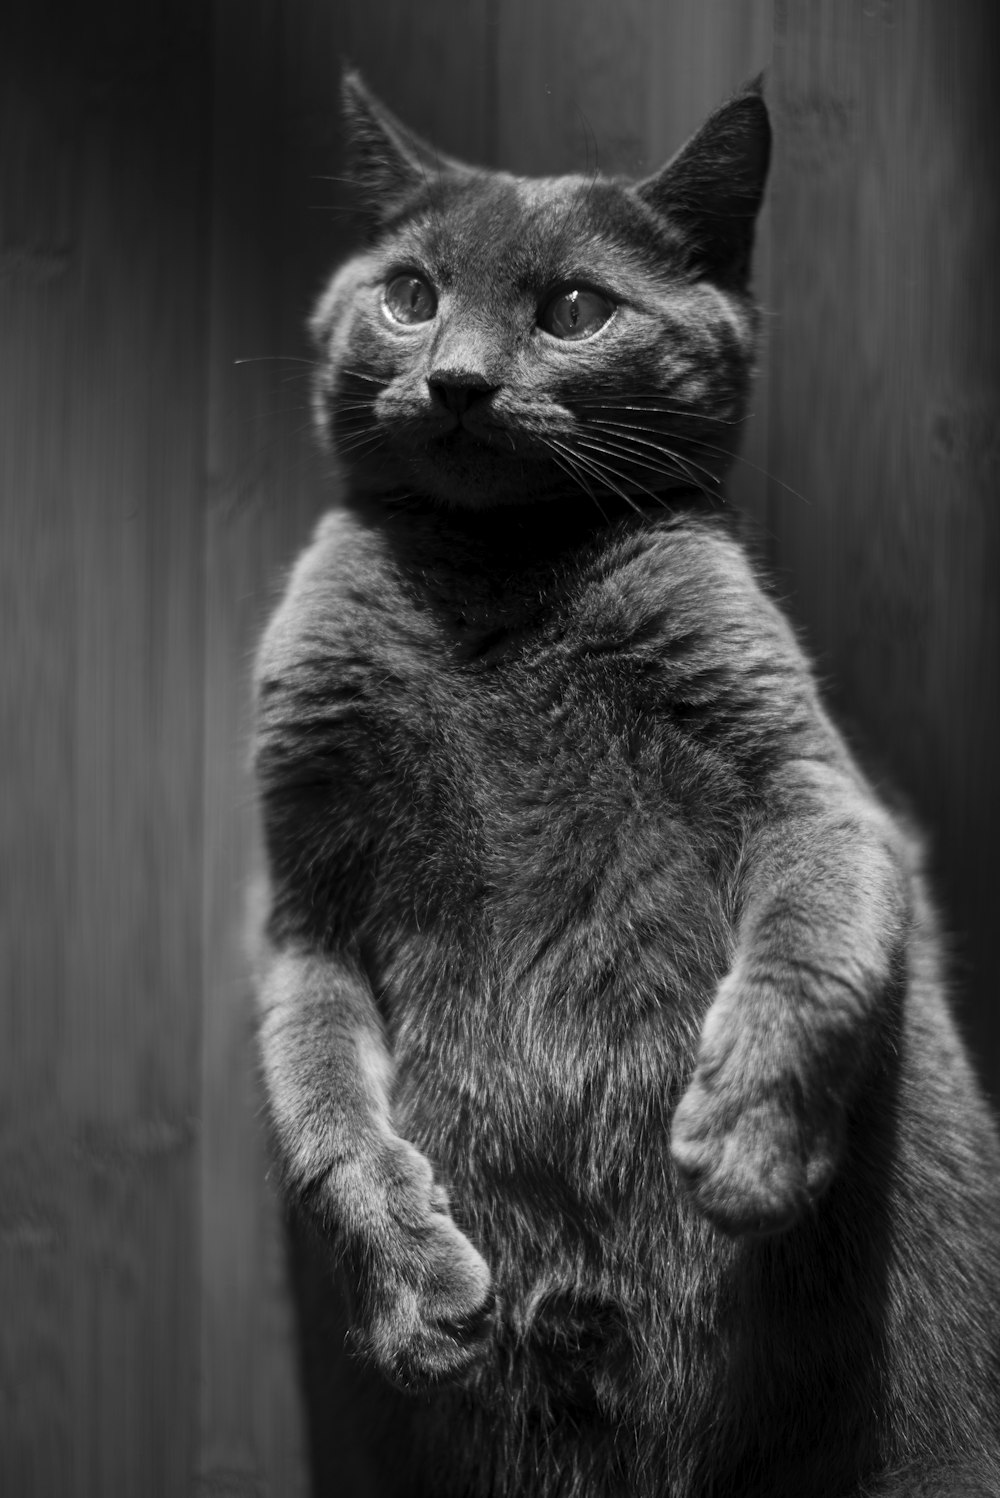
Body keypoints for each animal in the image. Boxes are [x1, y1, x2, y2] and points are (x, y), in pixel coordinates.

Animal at [251, 70, 999, 1498]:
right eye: (411, 293)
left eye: (574, 310)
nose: (457, 379)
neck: (494, 595)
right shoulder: (300, 904)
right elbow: (319, 1111)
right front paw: (418, 1294)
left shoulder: (811, 784)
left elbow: (809, 956)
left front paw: (743, 1142)